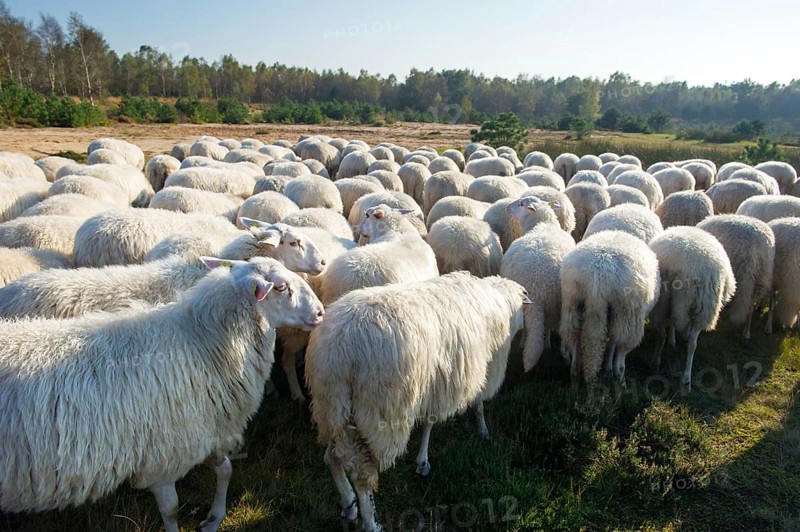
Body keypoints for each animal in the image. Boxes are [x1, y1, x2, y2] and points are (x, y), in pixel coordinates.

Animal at [0, 256, 323, 532]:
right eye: (280, 287)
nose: (321, 311)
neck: (203, 343)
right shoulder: (165, 453)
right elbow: (171, 509)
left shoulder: (204, 428)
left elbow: (225, 469)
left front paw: (213, 519)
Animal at [306, 272, 527, 532]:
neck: (496, 301)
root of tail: (337, 350)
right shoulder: (476, 368)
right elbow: (476, 404)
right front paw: (481, 430)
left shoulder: (434, 383)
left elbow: (429, 422)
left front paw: (423, 459)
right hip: (380, 412)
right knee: (363, 475)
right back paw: (371, 521)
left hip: (332, 409)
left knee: (332, 457)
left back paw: (349, 503)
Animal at [501, 197, 576, 370]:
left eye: (521, 204)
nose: (507, 208)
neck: (543, 223)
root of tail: (538, 285)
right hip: (554, 302)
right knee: (547, 324)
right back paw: (550, 346)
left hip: (528, 302)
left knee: (529, 325)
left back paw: (524, 343)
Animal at [560, 230, 660, 387]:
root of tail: (599, 275)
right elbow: (614, 342)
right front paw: (609, 369)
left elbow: (612, 340)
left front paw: (607, 368)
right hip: (628, 314)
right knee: (621, 357)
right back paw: (622, 383)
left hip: (572, 305)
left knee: (574, 343)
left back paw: (575, 384)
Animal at [648, 227, 736, 393]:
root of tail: (695, 270)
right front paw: (674, 340)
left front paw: (672, 341)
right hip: (701, 308)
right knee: (692, 343)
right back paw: (686, 378)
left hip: (669, 303)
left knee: (669, 336)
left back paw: (658, 362)